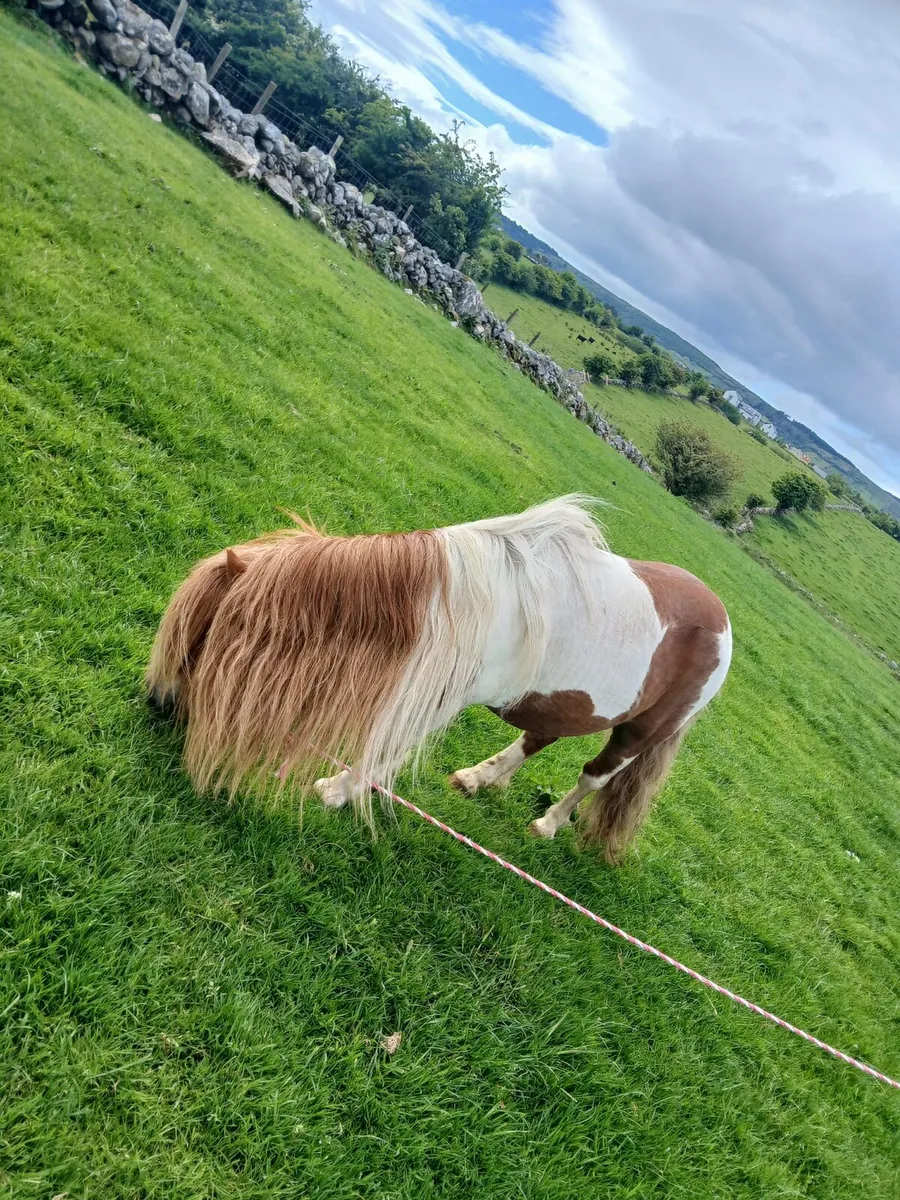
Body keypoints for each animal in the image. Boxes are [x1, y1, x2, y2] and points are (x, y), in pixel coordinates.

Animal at [146, 496, 731, 861]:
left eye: (202, 634)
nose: (156, 703)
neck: (448, 605)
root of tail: (722, 620)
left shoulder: (435, 697)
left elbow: (386, 747)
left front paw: (335, 792)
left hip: (640, 733)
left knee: (594, 777)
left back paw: (547, 824)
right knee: (536, 737)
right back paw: (476, 779)